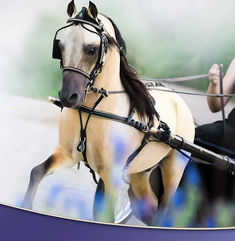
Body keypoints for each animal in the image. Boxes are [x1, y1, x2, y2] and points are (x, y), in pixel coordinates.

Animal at [22, 0, 195, 225]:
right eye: (59, 46)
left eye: (91, 49)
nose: (68, 96)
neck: (95, 110)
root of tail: (179, 101)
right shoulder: (68, 155)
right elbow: (36, 172)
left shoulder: (111, 177)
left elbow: (107, 217)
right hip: (140, 172)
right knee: (149, 204)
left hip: (173, 168)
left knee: (164, 206)